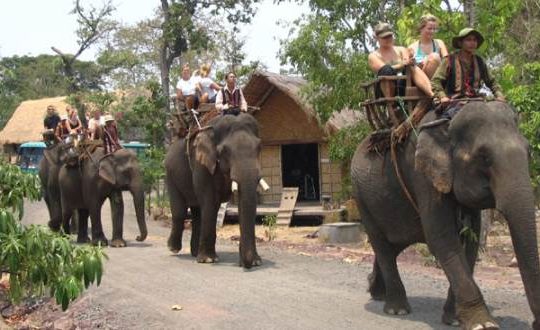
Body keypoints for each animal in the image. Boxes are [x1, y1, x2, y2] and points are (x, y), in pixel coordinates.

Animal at [165, 113, 266, 268]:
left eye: (259, 147)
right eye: (225, 151)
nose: (246, 265)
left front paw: (255, 261)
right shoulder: (201, 163)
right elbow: (210, 201)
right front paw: (208, 260)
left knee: (197, 213)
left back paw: (195, 252)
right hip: (170, 175)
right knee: (180, 211)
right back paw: (173, 248)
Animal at [350, 101, 540, 330]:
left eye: (529, 152)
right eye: (484, 157)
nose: (534, 323)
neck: (447, 123)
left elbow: (470, 242)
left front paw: (455, 320)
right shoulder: (423, 176)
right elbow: (442, 238)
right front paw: (483, 324)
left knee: (392, 247)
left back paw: (376, 292)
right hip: (362, 199)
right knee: (382, 246)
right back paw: (397, 309)